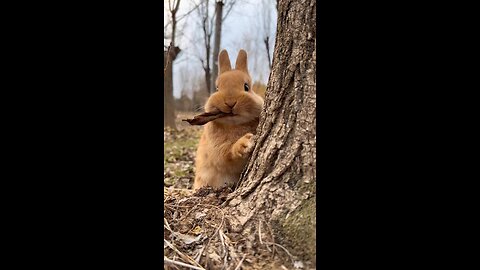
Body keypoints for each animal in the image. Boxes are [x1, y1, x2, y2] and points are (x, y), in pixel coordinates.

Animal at [193, 49, 264, 191]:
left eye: (246, 87)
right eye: (217, 88)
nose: (230, 102)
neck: (235, 124)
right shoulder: (218, 150)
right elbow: (228, 155)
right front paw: (245, 143)